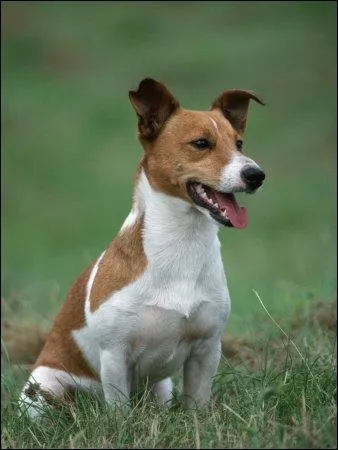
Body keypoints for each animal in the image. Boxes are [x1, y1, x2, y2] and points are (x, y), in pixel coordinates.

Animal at [19, 78, 266, 422]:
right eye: (201, 143)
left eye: (239, 143)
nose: (256, 175)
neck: (182, 244)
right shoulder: (115, 355)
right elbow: (119, 412)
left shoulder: (206, 350)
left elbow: (197, 403)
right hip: (44, 388)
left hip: (161, 388)